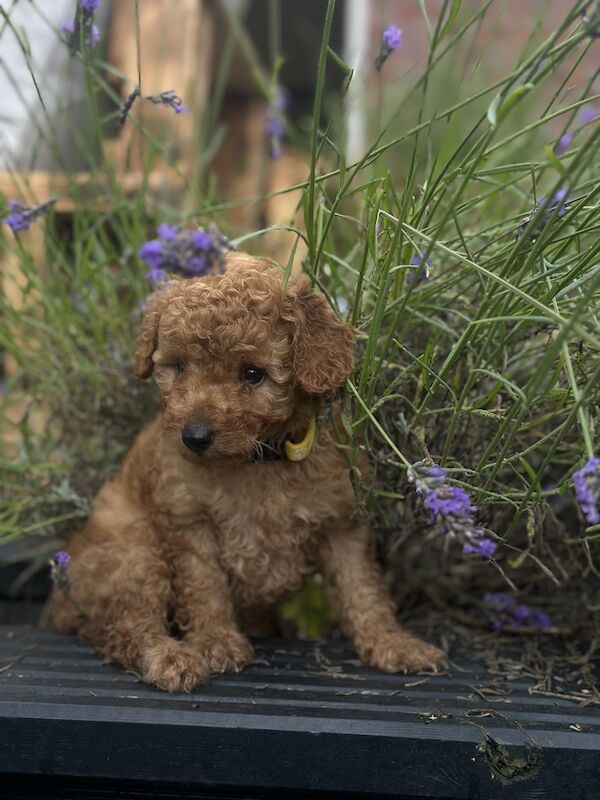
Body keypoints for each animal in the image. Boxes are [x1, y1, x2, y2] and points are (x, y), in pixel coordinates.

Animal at [50, 253, 446, 692]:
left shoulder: (342, 522)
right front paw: (215, 642)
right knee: (126, 626)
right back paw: (170, 659)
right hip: (133, 556)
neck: (257, 461)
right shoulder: (189, 523)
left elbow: (363, 588)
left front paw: (392, 643)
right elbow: (205, 587)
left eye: (253, 374)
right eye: (179, 368)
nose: (194, 437)